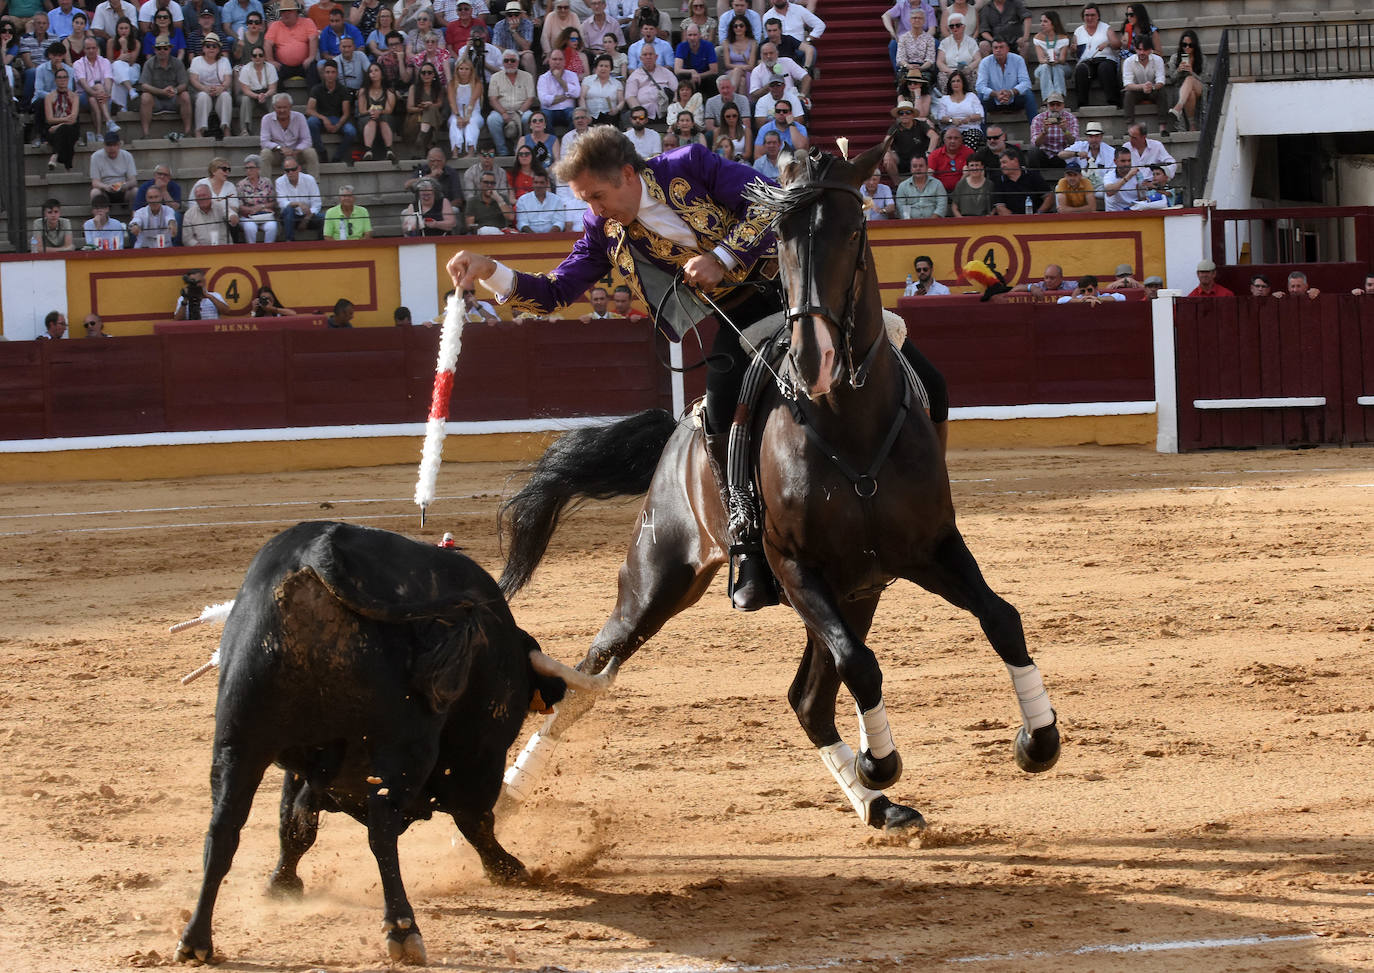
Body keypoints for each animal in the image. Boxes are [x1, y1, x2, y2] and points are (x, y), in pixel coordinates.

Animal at [175, 524, 596, 967]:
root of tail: (320, 547)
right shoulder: (477, 756)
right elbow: (475, 819)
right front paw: (506, 868)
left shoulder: (299, 765)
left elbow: (295, 823)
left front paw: (282, 884)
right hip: (402, 748)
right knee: (382, 829)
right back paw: (403, 929)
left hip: (238, 744)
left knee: (223, 829)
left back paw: (196, 939)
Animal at [497, 142, 1060, 830]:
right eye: (783, 238)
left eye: (854, 230)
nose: (816, 358)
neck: (848, 425)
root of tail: (675, 440)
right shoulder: (793, 566)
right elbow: (860, 666)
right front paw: (880, 762)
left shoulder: (932, 547)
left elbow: (1002, 619)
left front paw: (1038, 740)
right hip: (659, 580)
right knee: (589, 676)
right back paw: (508, 793)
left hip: (858, 590)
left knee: (807, 698)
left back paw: (879, 808)